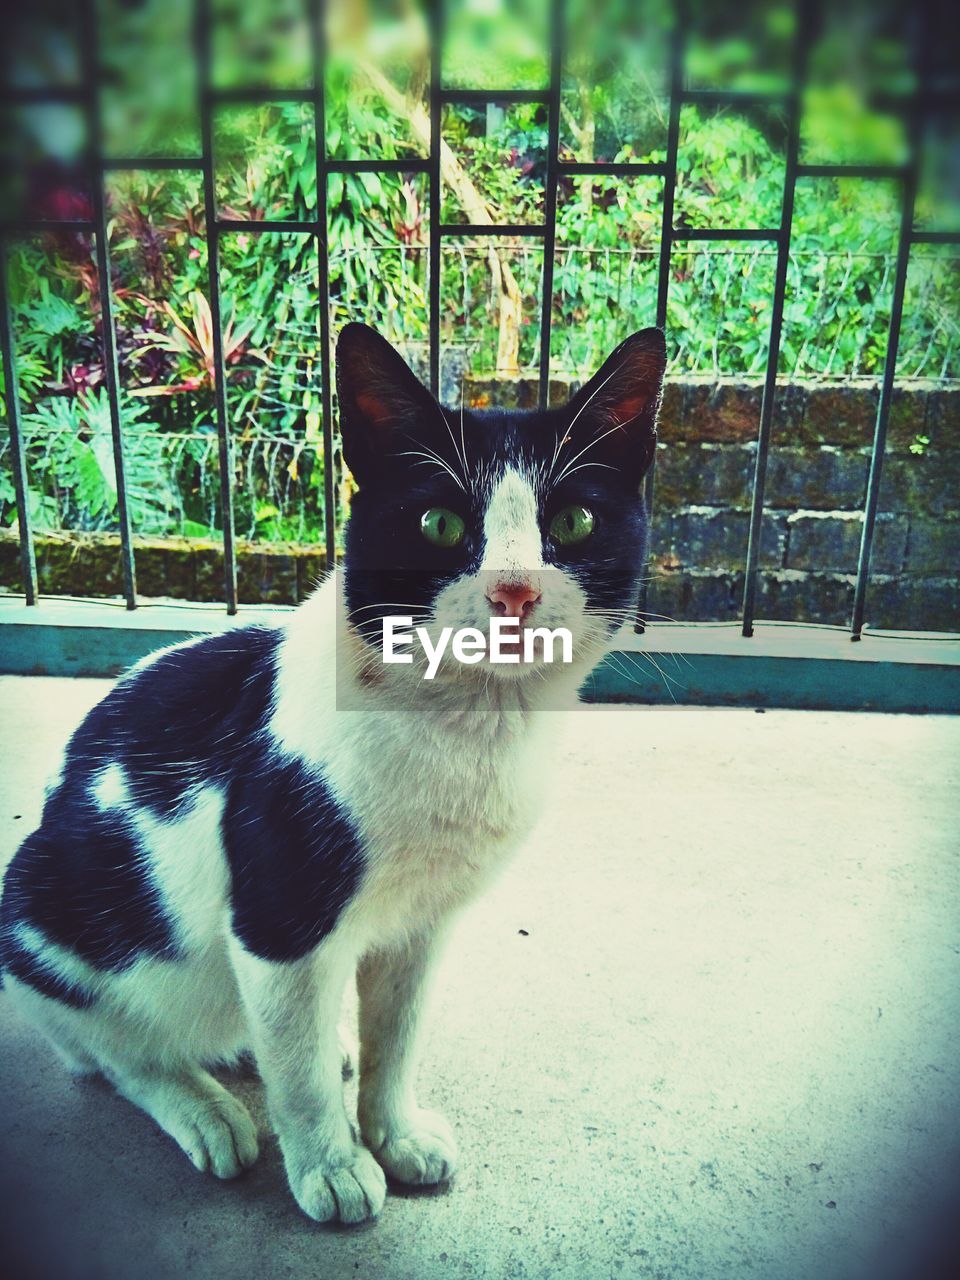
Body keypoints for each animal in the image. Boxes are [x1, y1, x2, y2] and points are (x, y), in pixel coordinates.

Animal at [0, 320, 665, 1218]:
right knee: (110, 1049)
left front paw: (394, 1133)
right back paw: (200, 1106)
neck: (465, 727)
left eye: (574, 519)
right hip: (44, 917)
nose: (515, 592)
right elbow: (302, 1076)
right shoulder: (279, 922)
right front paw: (331, 1165)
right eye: (439, 524)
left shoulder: (422, 926)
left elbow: (398, 1037)